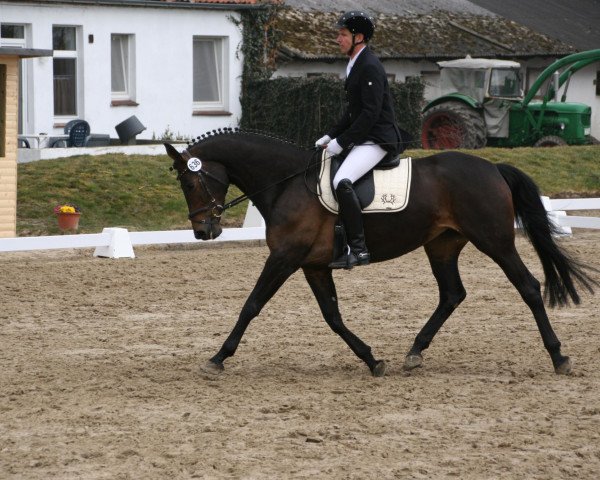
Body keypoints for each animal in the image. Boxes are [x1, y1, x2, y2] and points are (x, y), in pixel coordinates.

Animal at [163, 129, 596, 376]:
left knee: (528, 286)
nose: (204, 231)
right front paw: (372, 360)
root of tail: (492, 168)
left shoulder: (284, 258)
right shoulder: (313, 265)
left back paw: (559, 357)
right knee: (452, 294)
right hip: (442, 245)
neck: (286, 183)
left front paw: (218, 358)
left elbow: (251, 305)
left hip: (495, 241)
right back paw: (414, 353)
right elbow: (333, 316)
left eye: (190, 182)